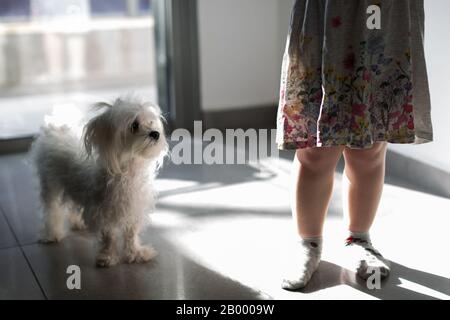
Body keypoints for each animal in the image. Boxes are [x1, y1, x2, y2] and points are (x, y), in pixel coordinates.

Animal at [30, 97, 169, 268]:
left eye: (151, 122)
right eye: (134, 125)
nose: (155, 133)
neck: (128, 171)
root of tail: (57, 126)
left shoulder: (134, 208)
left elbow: (131, 233)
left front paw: (136, 253)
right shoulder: (102, 211)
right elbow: (109, 236)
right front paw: (108, 257)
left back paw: (78, 222)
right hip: (50, 183)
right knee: (51, 209)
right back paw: (52, 234)